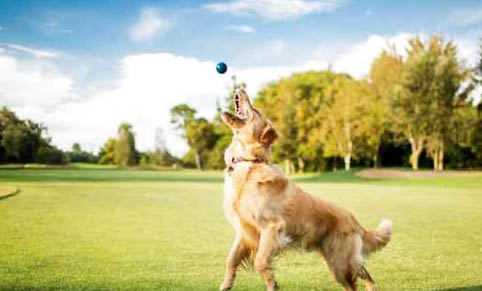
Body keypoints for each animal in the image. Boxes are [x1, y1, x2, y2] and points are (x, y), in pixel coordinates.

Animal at [218, 90, 392, 290]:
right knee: (362, 275)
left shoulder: (272, 228)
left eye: (255, 110)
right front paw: (226, 284)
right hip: (338, 263)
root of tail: (355, 221)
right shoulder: (244, 232)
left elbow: (260, 262)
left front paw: (272, 283)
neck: (250, 162)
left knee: (361, 277)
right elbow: (231, 260)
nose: (241, 90)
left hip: (341, 263)